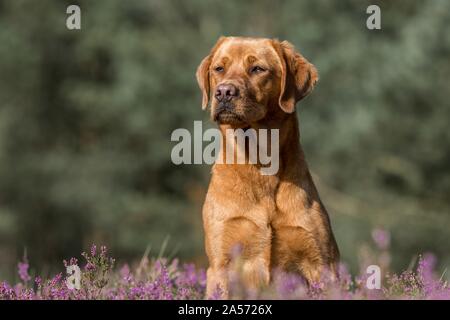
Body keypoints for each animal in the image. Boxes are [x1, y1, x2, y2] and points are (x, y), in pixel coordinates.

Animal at [195, 35, 340, 298]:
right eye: (219, 69)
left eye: (257, 69)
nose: (224, 92)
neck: (259, 165)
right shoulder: (221, 264)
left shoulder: (321, 264)